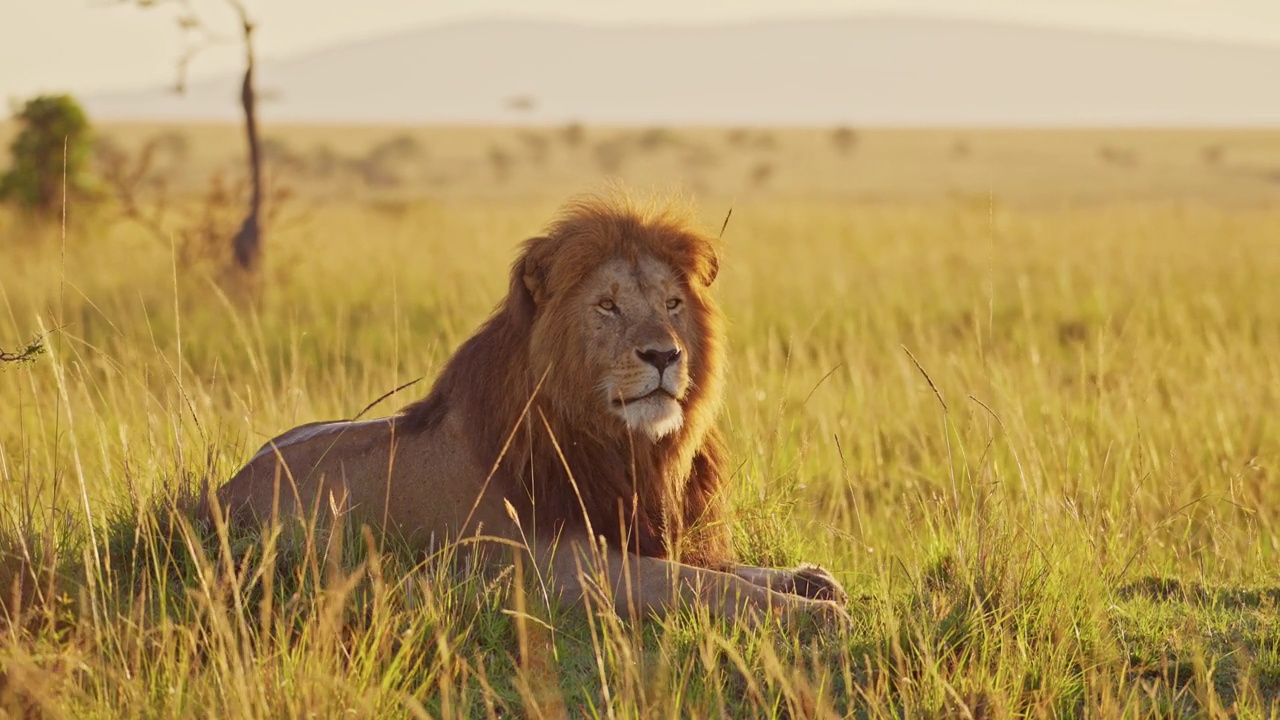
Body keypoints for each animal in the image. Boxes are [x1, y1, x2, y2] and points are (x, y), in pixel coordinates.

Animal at [213, 190, 849, 622]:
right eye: (607, 306)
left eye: (672, 303)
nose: (664, 355)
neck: (623, 446)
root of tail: (214, 494)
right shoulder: (558, 566)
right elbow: (699, 583)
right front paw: (815, 616)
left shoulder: (639, 529)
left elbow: (718, 567)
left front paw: (809, 579)